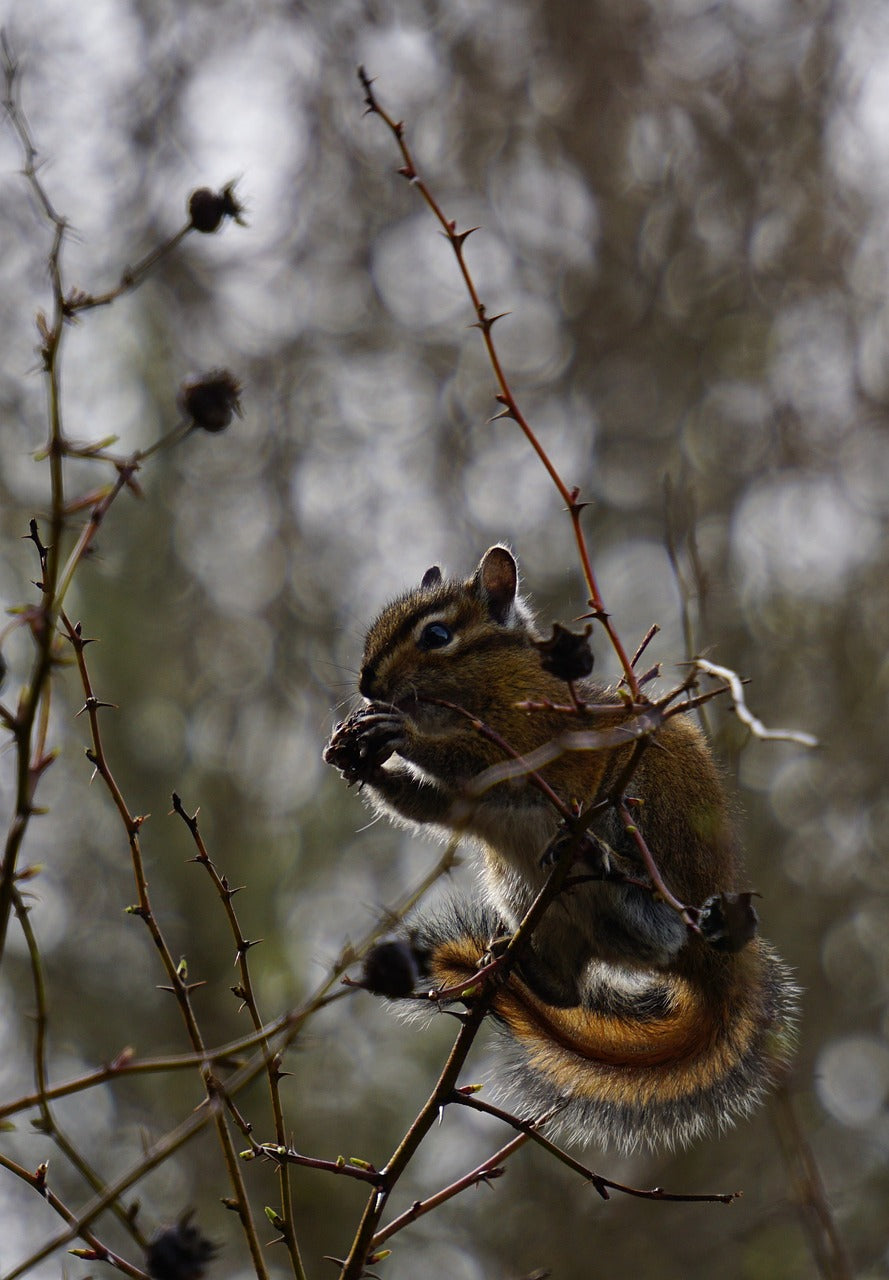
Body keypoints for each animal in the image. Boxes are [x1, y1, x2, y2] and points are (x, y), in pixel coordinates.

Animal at [323, 546, 798, 1152]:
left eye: (437, 635)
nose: (366, 684)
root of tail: (716, 971)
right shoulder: (467, 804)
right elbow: (431, 806)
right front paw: (360, 759)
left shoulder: (535, 731)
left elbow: (481, 758)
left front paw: (398, 731)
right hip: (528, 898)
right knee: (570, 992)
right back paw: (520, 964)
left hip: (641, 818)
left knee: (657, 923)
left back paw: (596, 857)